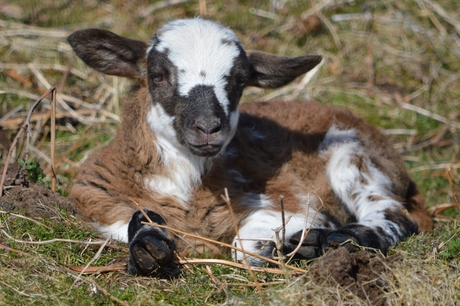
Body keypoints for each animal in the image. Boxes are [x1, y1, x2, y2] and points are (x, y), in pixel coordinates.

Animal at [67, 17, 432, 278]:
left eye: (239, 81)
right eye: (157, 75)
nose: (208, 127)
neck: (188, 190)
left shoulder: (289, 197)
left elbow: (246, 248)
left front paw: (291, 243)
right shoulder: (97, 201)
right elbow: (131, 223)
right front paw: (147, 249)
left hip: (355, 157)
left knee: (394, 214)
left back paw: (341, 239)